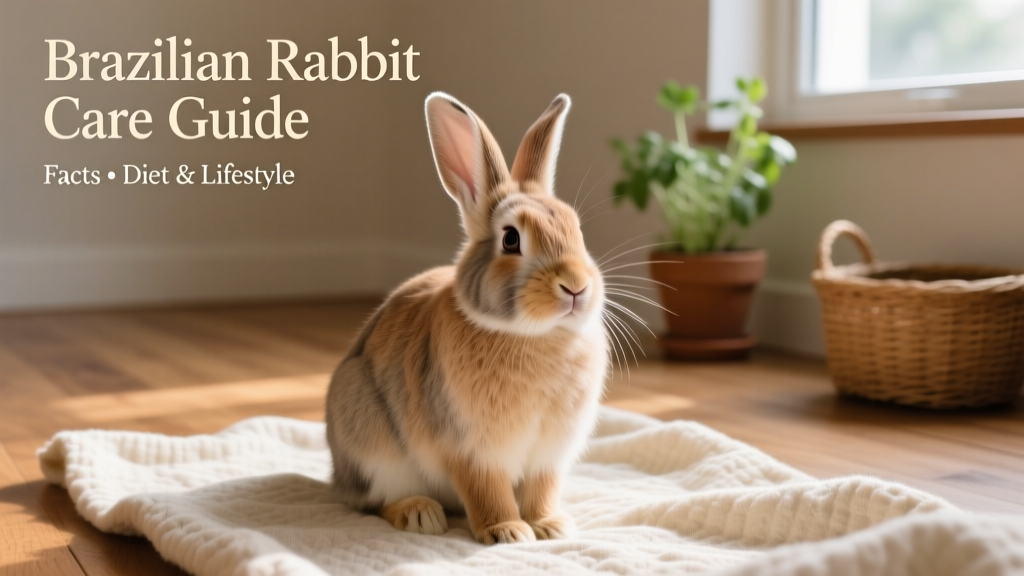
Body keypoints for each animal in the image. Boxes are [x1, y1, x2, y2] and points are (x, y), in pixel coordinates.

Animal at [325, 91, 609, 545]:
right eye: (510, 239)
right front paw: (508, 532)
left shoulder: (549, 455)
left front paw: (551, 526)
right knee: (373, 501)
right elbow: (486, 490)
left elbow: (542, 490)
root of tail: (338, 478)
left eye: (576, 229)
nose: (576, 287)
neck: (533, 335)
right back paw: (420, 514)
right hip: (371, 442)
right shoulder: (471, 449)